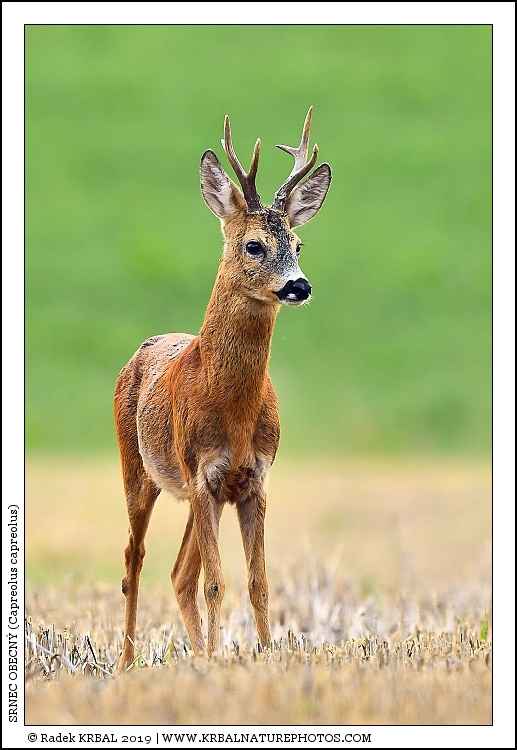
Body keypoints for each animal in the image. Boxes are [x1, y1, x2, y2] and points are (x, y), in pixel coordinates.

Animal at [115, 107, 331, 672]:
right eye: (253, 244)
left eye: (297, 245)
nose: (299, 285)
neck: (230, 410)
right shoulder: (203, 474)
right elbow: (217, 582)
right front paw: (219, 659)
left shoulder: (253, 479)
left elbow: (258, 582)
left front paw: (265, 656)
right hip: (139, 470)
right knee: (133, 560)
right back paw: (125, 662)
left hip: (191, 495)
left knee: (178, 573)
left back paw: (195, 653)